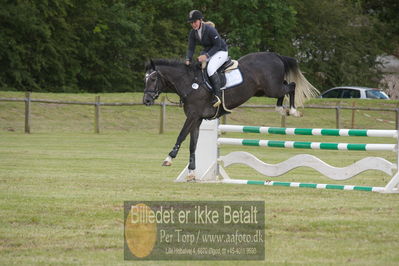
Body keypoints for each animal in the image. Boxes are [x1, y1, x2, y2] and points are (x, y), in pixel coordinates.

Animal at [144, 51, 318, 180]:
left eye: (153, 78)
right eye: (144, 79)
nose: (146, 100)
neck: (190, 84)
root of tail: (275, 55)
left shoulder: (193, 116)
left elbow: (181, 136)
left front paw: (168, 159)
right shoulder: (197, 119)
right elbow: (193, 144)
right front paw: (192, 173)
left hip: (271, 88)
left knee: (291, 86)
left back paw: (292, 110)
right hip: (265, 90)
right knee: (285, 88)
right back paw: (281, 108)